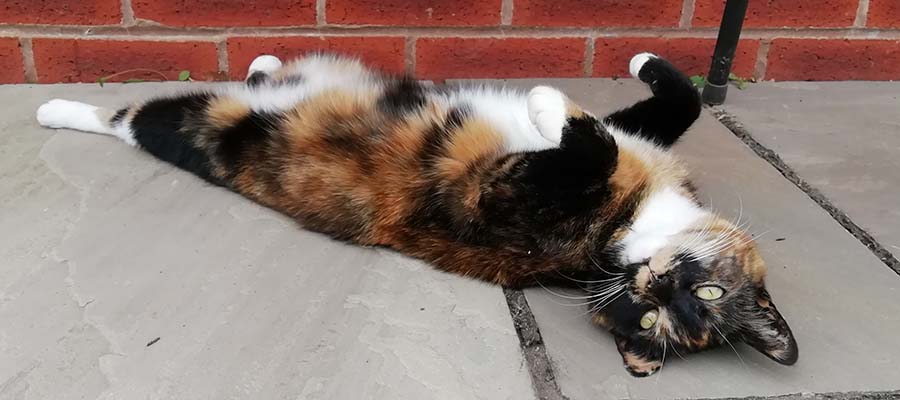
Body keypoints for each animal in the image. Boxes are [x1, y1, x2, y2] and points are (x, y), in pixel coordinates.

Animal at [33, 51, 796, 376]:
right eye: (709, 291)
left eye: (652, 322)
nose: (655, 282)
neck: (631, 227)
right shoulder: (642, 138)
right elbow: (672, 104)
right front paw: (633, 64)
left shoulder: (499, 196)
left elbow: (591, 144)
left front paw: (545, 101)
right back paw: (264, 60)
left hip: (214, 130)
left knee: (132, 120)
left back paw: (56, 111)